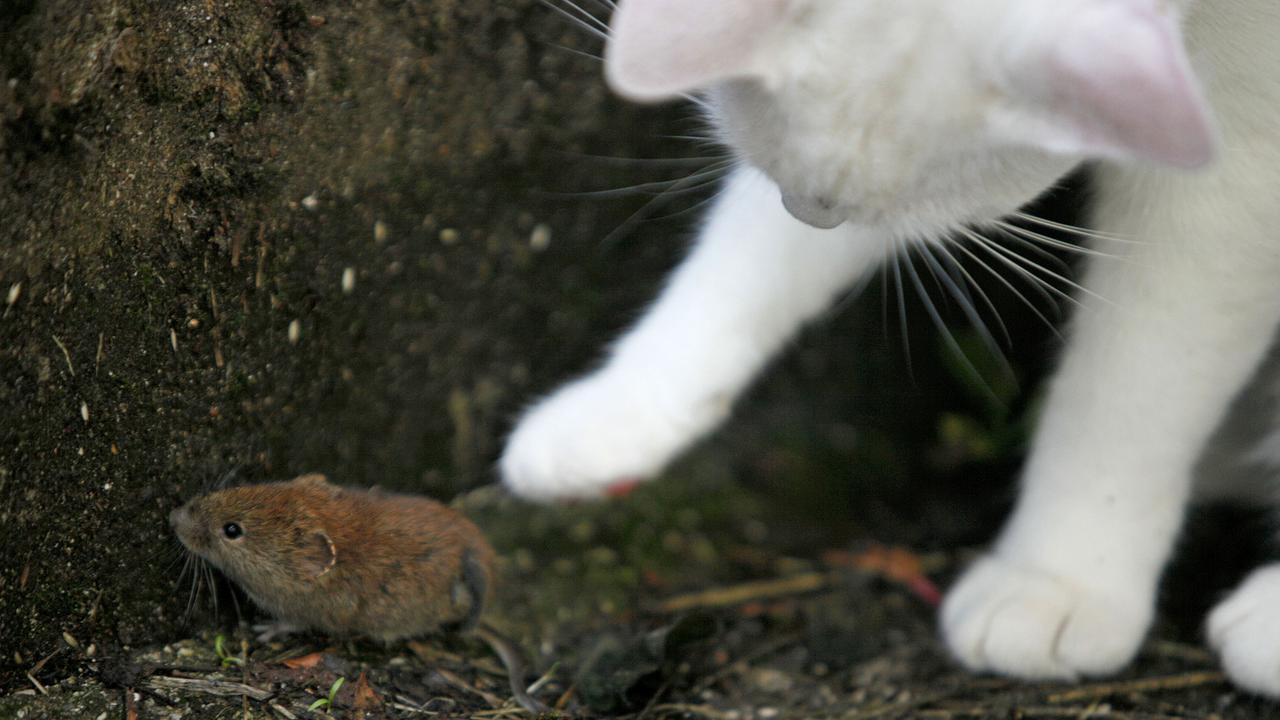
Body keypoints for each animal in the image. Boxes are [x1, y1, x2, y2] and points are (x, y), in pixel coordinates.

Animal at [501, 0, 1280, 696]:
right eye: (800, 189)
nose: (812, 212)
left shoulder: (1234, 169)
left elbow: (1130, 385)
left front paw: (1057, 575)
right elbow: (755, 258)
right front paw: (621, 409)